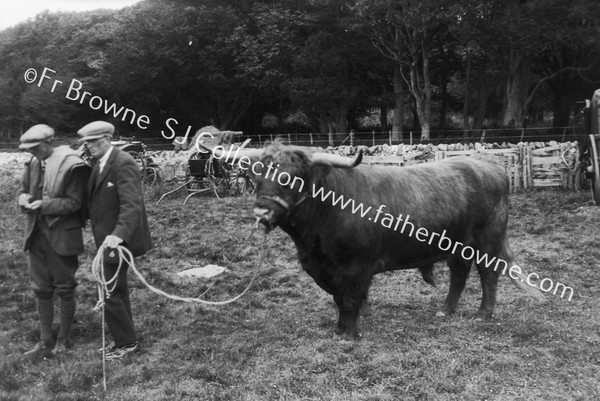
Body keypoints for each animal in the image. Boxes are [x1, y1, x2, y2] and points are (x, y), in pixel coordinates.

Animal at [204, 141, 540, 338]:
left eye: (294, 176)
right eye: (257, 174)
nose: (262, 211)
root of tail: (491, 167)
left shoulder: (357, 267)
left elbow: (351, 298)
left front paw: (349, 333)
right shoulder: (324, 268)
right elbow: (338, 297)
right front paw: (342, 328)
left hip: (488, 242)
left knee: (488, 276)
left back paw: (483, 315)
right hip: (458, 247)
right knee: (459, 275)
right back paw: (446, 310)